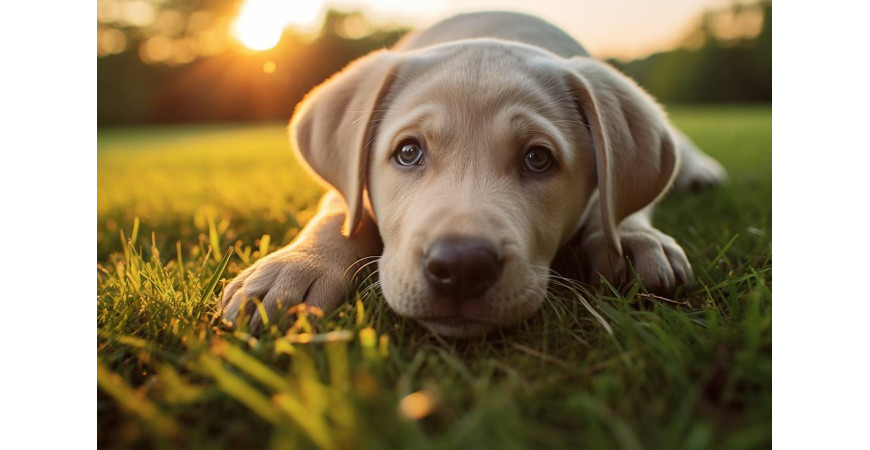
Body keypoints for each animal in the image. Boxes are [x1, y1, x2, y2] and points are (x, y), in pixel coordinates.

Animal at [220, 11, 728, 338]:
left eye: (538, 159)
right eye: (408, 153)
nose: (461, 268)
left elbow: (620, 206)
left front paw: (638, 240)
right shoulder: (346, 190)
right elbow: (336, 213)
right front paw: (294, 268)